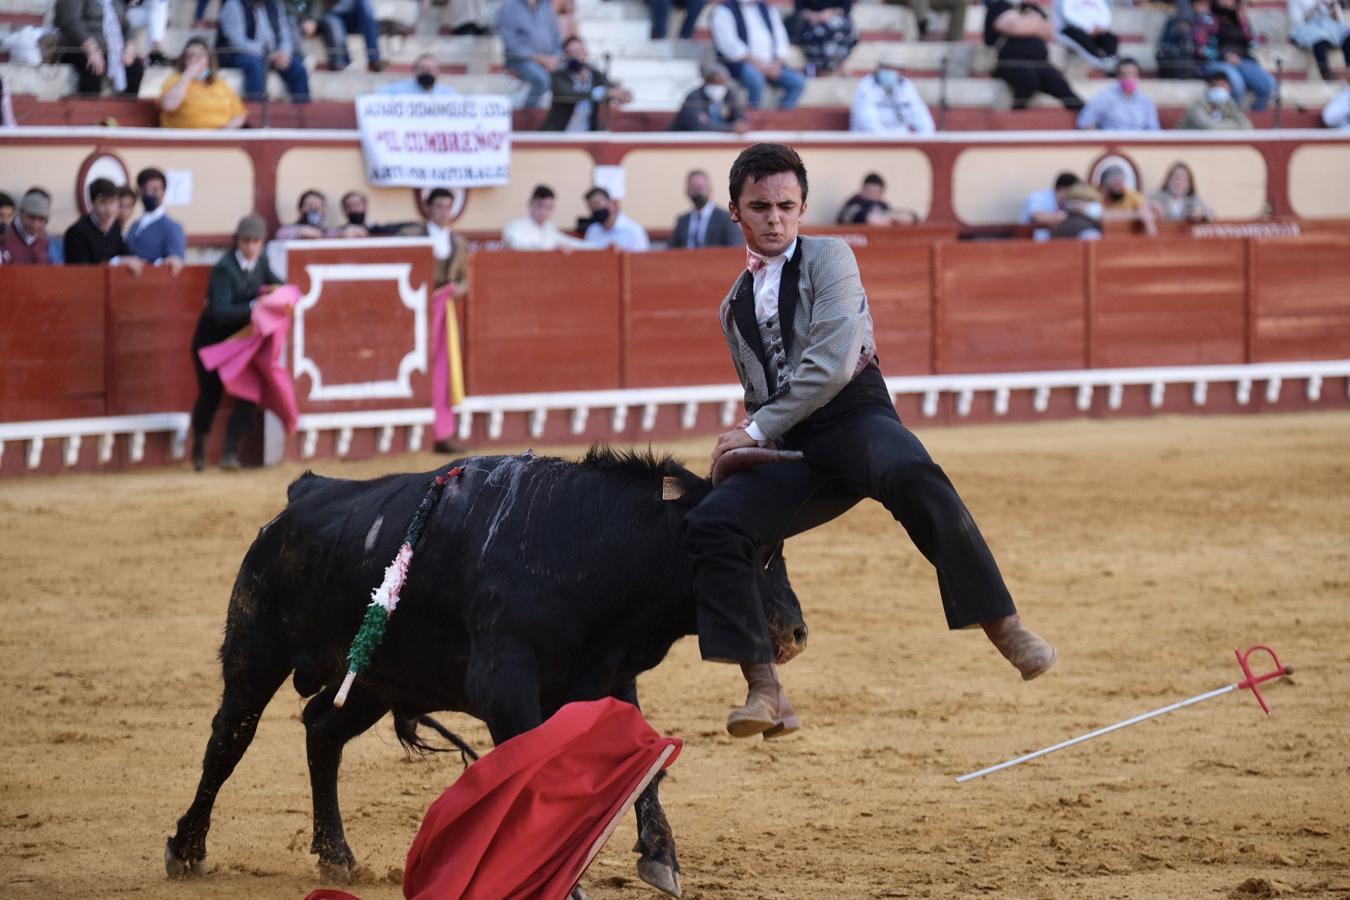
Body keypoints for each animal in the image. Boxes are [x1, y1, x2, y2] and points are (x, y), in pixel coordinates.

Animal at [163, 447, 804, 895]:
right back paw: (187, 850)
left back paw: (336, 855)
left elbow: (642, 762)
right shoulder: (505, 688)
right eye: (743, 551)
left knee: (322, 728)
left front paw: (660, 859)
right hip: (256, 649)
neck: (589, 551)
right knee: (230, 737)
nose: (793, 633)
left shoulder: (610, 679)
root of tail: (304, 494)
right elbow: (533, 773)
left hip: (377, 678)